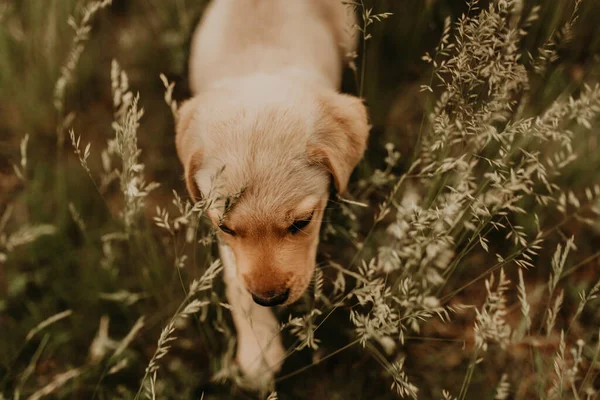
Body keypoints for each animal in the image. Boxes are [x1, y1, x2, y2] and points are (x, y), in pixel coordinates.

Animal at [176, 0, 368, 388]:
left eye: (302, 223)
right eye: (225, 228)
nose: (269, 298)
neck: (259, 66)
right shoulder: (229, 247)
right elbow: (237, 285)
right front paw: (258, 349)